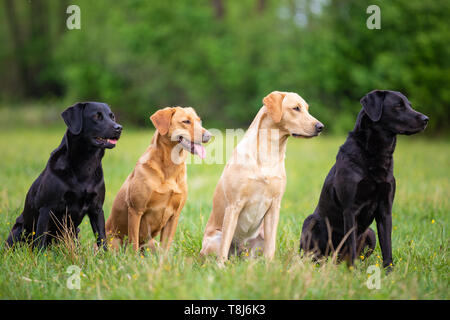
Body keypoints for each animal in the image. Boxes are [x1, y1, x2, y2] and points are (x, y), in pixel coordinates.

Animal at [5, 102, 121, 250]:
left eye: (112, 116)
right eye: (96, 116)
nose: (119, 128)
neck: (86, 164)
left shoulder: (97, 208)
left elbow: (101, 238)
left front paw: (104, 255)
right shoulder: (46, 208)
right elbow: (40, 239)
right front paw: (40, 256)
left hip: (75, 232)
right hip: (19, 230)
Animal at [200, 90, 324, 264]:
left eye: (307, 109)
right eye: (296, 108)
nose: (320, 127)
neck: (269, 152)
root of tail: (240, 251)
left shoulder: (275, 206)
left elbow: (271, 246)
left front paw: (270, 266)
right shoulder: (234, 205)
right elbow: (224, 245)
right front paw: (221, 267)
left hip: (259, 239)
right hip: (214, 240)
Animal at [300, 90, 428, 270]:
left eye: (409, 105)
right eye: (398, 106)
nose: (426, 119)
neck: (376, 154)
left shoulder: (385, 209)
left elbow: (387, 246)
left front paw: (389, 272)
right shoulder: (350, 209)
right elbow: (351, 244)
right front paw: (352, 271)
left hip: (370, 233)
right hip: (310, 222)